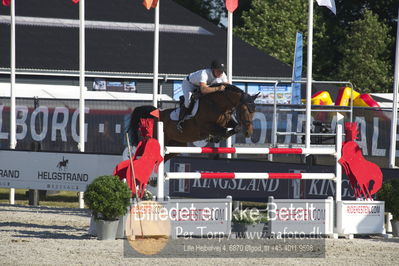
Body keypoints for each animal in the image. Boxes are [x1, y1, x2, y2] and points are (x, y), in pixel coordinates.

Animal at [128, 84, 260, 161]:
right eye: (244, 110)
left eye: (254, 110)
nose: (249, 133)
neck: (217, 104)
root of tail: (155, 115)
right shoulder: (205, 126)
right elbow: (222, 130)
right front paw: (214, 138)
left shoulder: (227, 122)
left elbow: (235, 127)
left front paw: (216, 138)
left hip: (178, 145)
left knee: (164, 157)